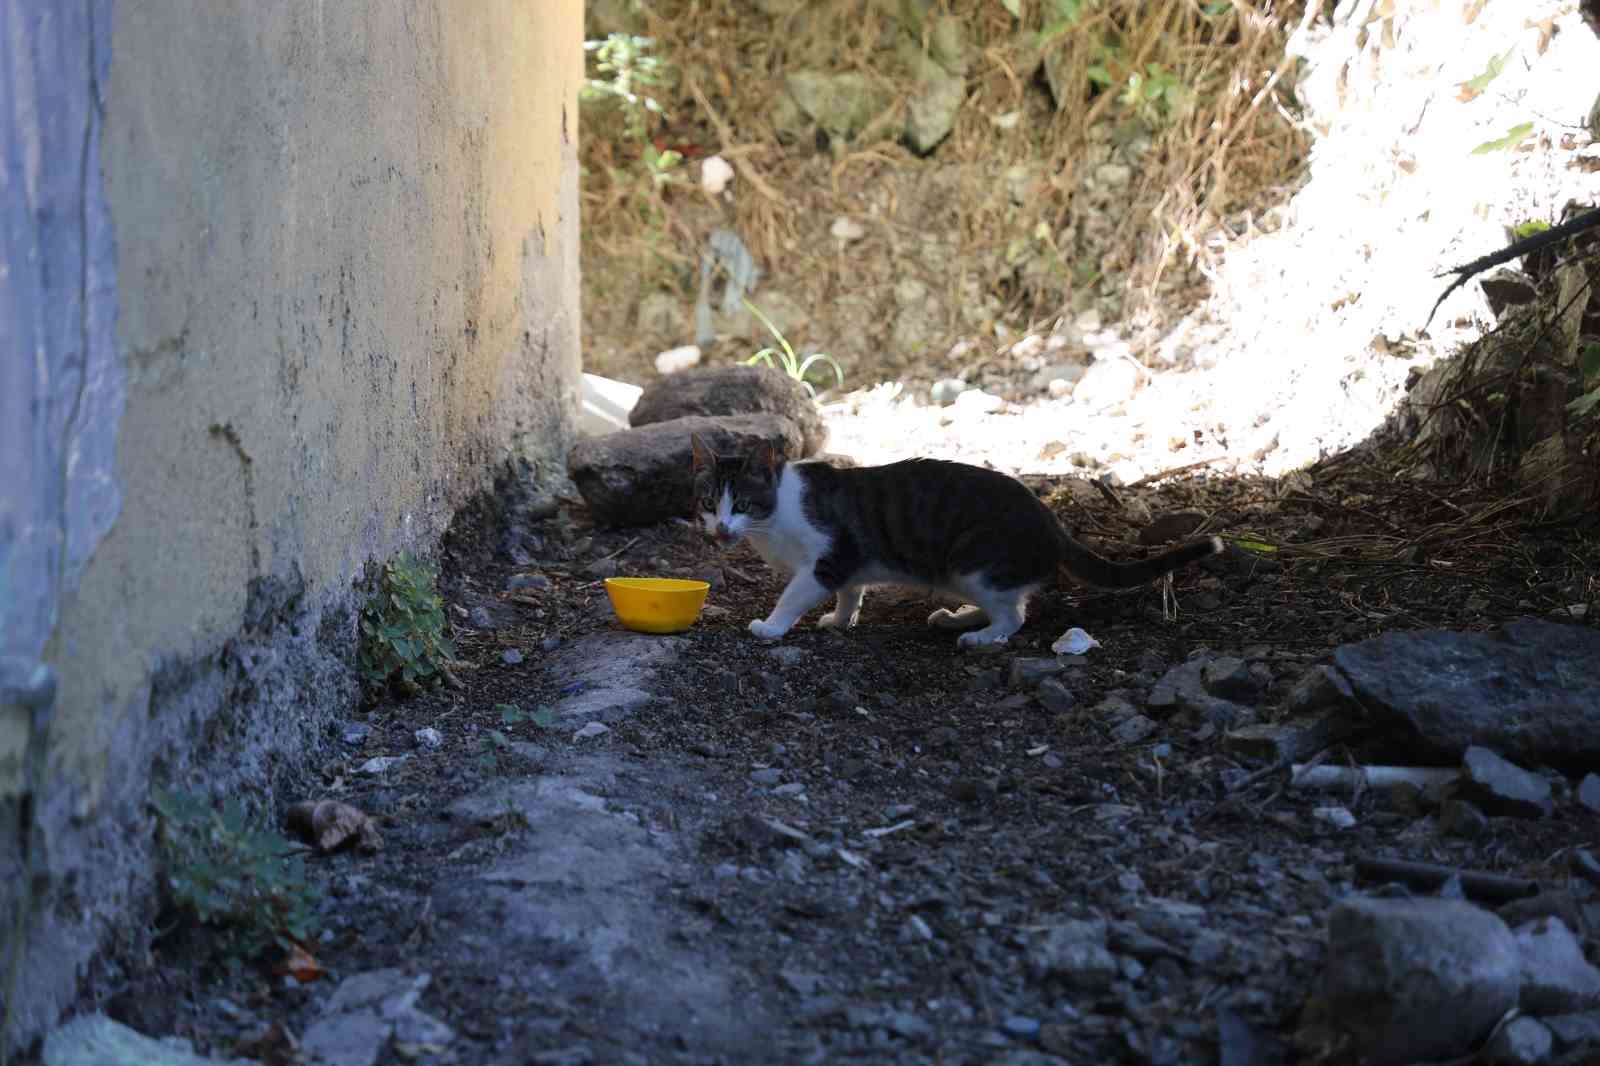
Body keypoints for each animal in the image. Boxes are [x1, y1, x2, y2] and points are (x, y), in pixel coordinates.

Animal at [688, 435, 1222, 646]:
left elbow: (794, 593)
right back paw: (957, 617)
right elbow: (851, 593)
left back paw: (980, 636)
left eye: (742, 504)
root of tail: (1051, 523)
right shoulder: (848, 565)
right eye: (708, 502)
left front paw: (772, 626)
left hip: (973, 561)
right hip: (967, 573)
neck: (775, 517)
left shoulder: (827, 555)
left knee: (1015, 616)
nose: (720, 528)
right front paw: (840, 620)